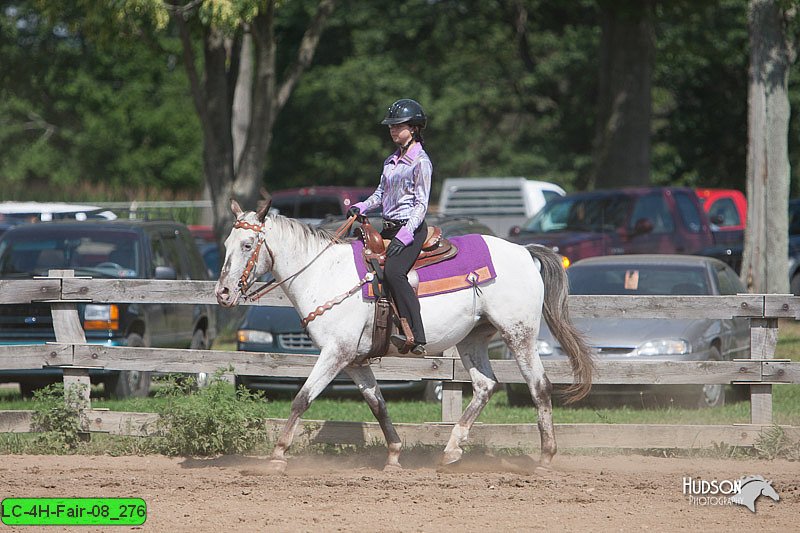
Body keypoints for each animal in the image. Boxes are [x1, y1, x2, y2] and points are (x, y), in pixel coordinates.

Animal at [214, 194, 592, 470]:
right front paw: (395, 454)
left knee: (539, 386)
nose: (222, 293)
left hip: (519, 333)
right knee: (485, 385)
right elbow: (377, 405)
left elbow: (302, 398)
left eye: (247, 244)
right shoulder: (354, 360)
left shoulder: (335, 353)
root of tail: (525, 252)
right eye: (226, 243)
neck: (323, 274)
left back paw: (545, 457)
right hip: (473, 338)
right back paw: (451, 450)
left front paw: (278, 455)